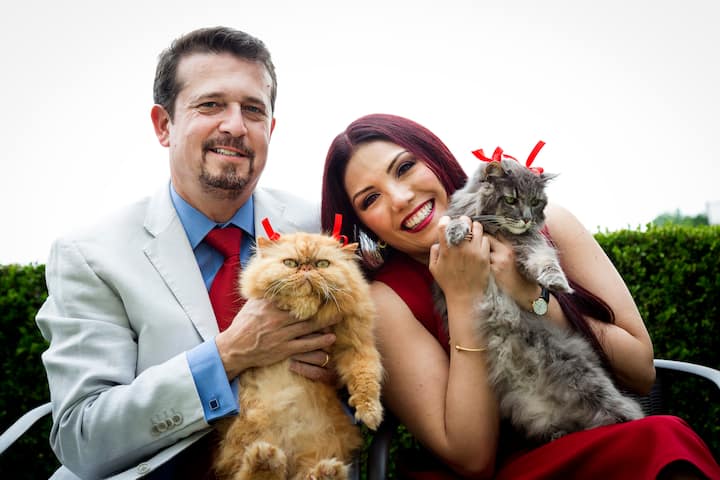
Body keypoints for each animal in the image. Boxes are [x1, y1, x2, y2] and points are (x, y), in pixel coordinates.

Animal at [212, 230, 384, 480]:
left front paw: (371, 415)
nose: (306, 270)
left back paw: (325, 471)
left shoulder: (356, 345)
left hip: (318, 449)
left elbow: (366, 380)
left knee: (304, 473)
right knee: (252, 471)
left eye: (322, 264)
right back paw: (265, 459)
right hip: (246, 437)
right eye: (291, 263)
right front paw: (304, 305)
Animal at [434, 146, 644, 443]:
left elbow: (545, 262)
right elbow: (457, 220)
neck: (499, 230)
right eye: (511, 199)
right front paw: (455, 233)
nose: (525, 218)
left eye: (535, 202)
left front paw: (557, 283)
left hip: (588, 382)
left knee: (628, 409)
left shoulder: (531, 244)